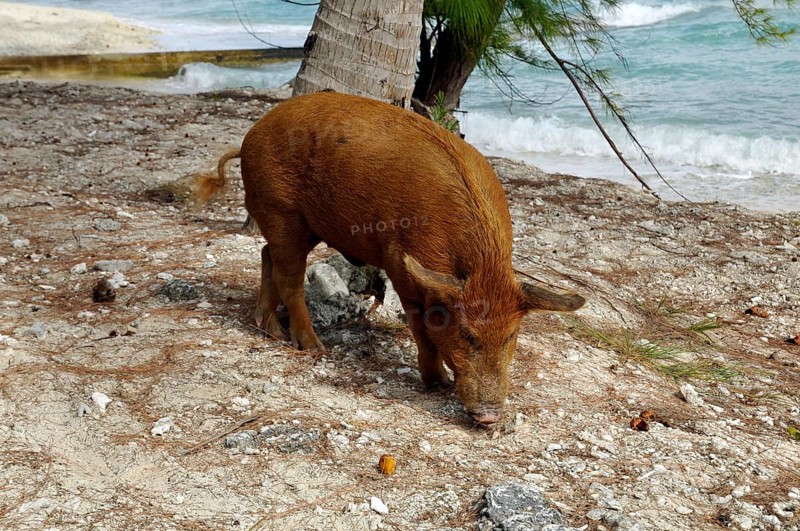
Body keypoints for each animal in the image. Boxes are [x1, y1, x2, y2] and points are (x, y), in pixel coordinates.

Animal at [196, 92, 585, 426]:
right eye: (466, 333)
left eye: (510, 336)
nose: (489, 416)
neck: (476, 263)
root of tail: (250, 135)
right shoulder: (400, 263)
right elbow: (420, 325)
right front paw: (436, 382)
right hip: (282, 210)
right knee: (289, 276)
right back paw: (313, 346)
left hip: (306, 224)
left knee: (267, 257)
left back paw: (272, 332)